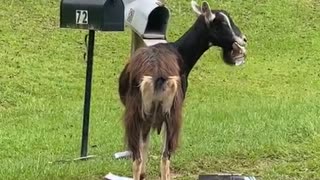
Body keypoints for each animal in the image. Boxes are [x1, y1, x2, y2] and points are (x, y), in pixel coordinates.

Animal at [117, 0, 248, 179]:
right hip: (170, 114)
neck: (179, 51)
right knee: (164, 157)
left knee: (140, 159)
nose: (243, 39)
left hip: (138, 115)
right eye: (221, 23)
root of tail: (157, 75)